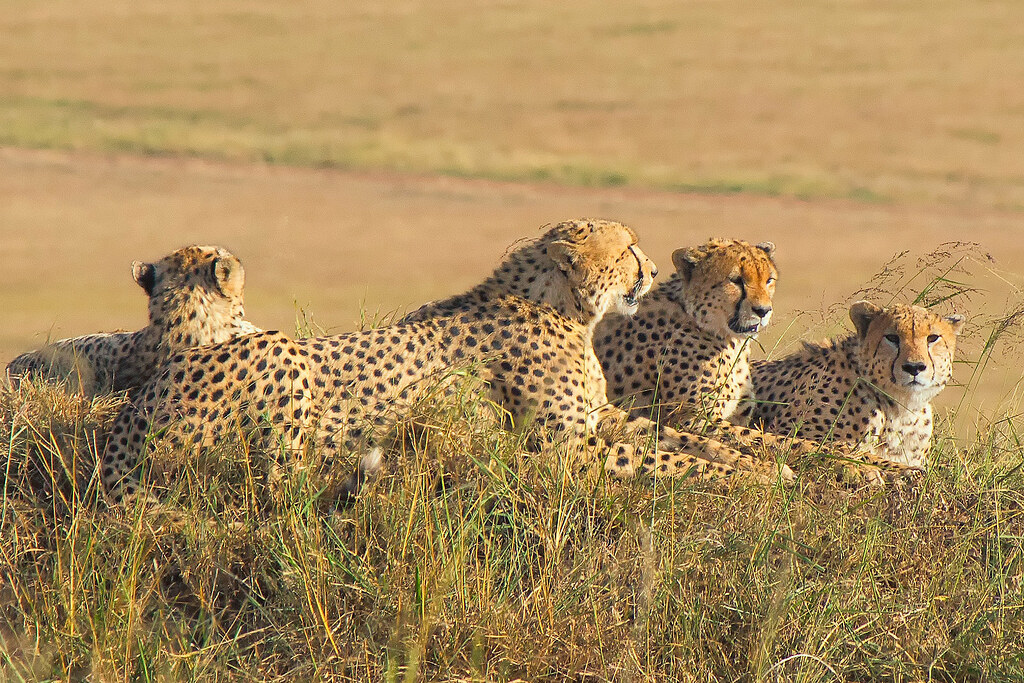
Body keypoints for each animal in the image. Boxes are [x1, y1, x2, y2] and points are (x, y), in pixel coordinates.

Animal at [101, 222, 790, 505]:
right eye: (626, 249)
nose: (648, 271)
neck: (565, 307)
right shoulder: (561, 450)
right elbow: (666, 459)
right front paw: (756, 479)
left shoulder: (603, 419)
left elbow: (682, 439)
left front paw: (761, 464)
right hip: (283, 362)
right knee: (281, 481)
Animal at [598, 240, 917, 481]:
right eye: (736, 280)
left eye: (769, 280)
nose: (763, 311)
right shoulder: (694, 419)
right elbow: (770, 440)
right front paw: (855, 467)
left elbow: (783, 440)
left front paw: (891, 466)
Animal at [749, 301, 962, 471]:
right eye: (892, 337)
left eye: (932, 338)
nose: (914, 367)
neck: (901, 409)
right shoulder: (787, 431)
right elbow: (852, 451)